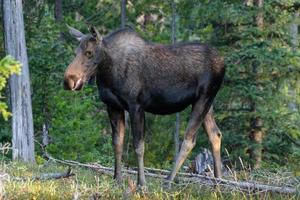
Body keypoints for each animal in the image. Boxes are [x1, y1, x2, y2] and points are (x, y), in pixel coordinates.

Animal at [63, 25, 225, 187]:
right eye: (75, 52)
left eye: (89, 53)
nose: (68, 80)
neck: (108, 72)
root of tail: (223, 62)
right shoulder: (113, 106)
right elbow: (117, 143)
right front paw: (117, 180)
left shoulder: (136, 105)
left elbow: (139, 146)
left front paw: (141, 183)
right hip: (205, 102)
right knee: (215, 134)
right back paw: (219, 182)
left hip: (203, 98)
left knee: (189, 140)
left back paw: (168, 181)